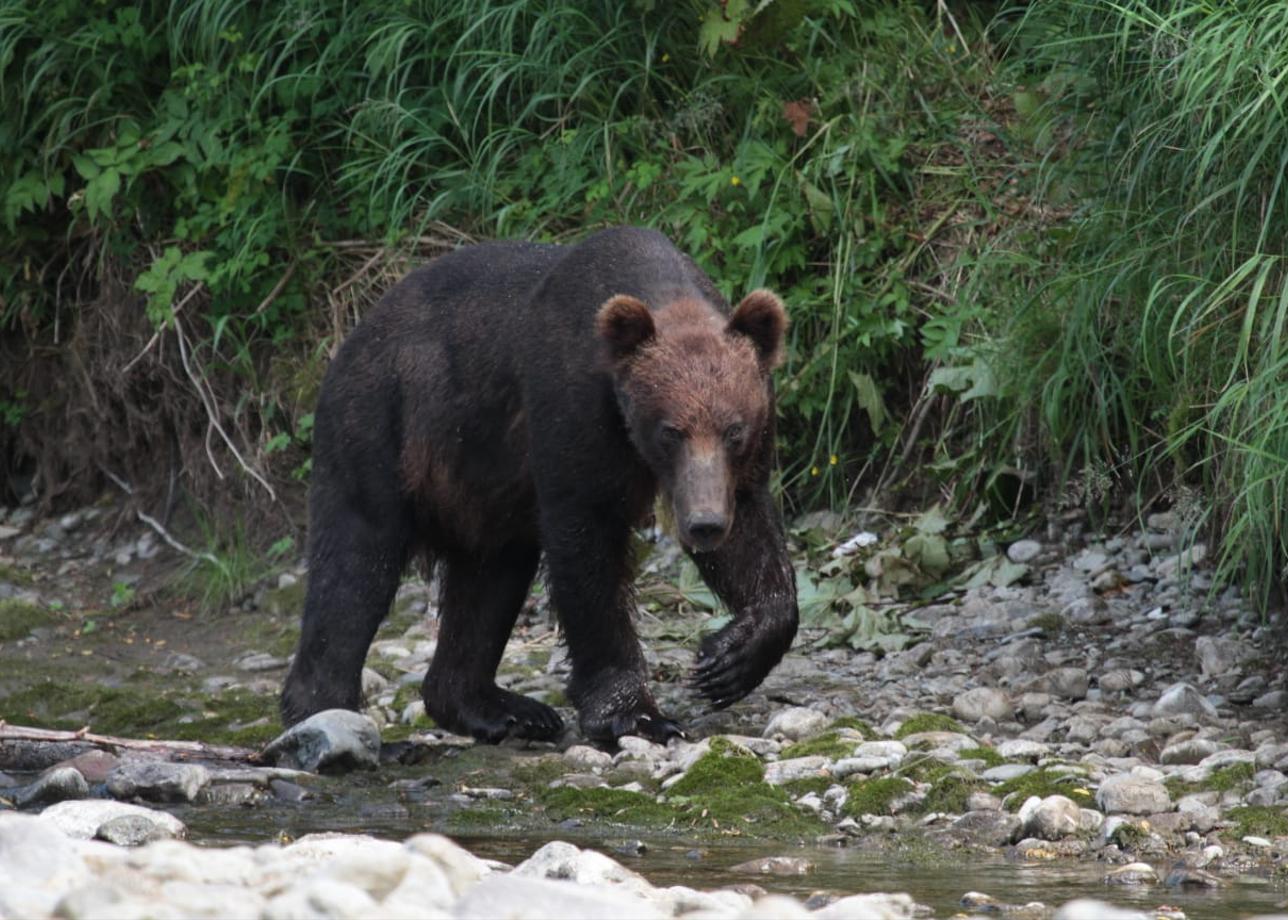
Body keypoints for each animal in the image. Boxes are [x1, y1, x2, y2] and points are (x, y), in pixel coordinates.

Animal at [284, 225, 793, 742]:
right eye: (670, 431)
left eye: (734, 430)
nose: (703, 523)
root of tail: (352, 336)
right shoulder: (571, 410)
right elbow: (586, 549)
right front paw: (635, 712)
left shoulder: (738, 460)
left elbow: (752, 542)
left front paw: (728, 660)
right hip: (380, 424)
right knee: (356, 564)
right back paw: (328, 716)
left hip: (479, 482)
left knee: (489, 578)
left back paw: (500, 709)